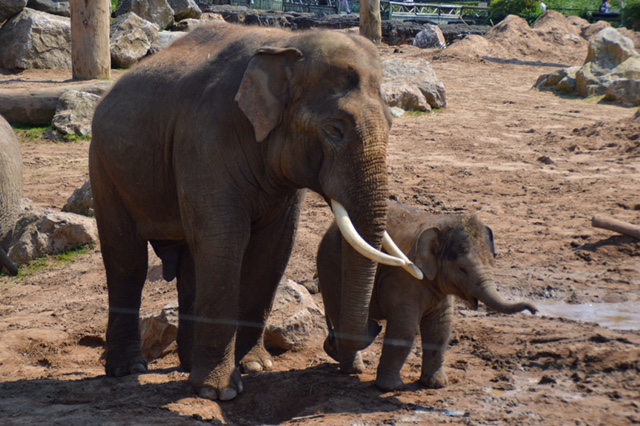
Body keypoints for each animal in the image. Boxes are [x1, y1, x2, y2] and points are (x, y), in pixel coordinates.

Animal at [89, 23, 416, 402]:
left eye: (391, 123)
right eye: (335, 129)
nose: (372, 327)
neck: (285, 43)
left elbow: (273, 249)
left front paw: (254, 366)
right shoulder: (205, 140)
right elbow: (223, 242)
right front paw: (218, 391)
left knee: (189, 266)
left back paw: (188, 363)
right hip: (104, 168)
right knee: (127, 261)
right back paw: (129, 369)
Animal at [318, 201, 536, 392]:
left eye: (493, 261)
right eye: (462, 269)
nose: (534, 309)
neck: (439, 225)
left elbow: (440, 327)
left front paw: (436, 384)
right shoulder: (404, 279)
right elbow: (405, 329)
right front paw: (391, 388)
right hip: (330, 269)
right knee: (339, 314)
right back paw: (353, 369)